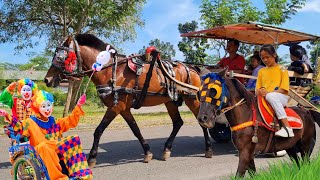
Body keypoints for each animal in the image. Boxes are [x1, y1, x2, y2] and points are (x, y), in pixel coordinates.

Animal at [43, 33, 214, 167]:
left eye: (61, 57)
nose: (47, 80)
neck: (111, 70)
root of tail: (191, 68)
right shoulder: (123, 108)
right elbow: (135, 129)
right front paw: (147, 152)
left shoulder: (116, 106)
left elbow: (99, 130)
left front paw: (91, 157)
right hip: (170, 101)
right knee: (178, 122)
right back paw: (167, 149)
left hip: (191, 98)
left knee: (201, 120)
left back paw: (208, 149)